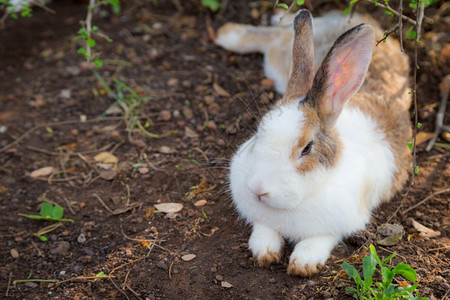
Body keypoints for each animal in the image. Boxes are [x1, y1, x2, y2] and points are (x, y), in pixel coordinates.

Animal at [218, 9, 412, 276]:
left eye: (307, 148)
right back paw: (230, 34)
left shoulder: (340, 224)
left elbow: (320, 240)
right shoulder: (260, 218)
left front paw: (303, 264)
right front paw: (264, 252)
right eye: (259, 131)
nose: (258, 189)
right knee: (277, 35)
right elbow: (263, 230)